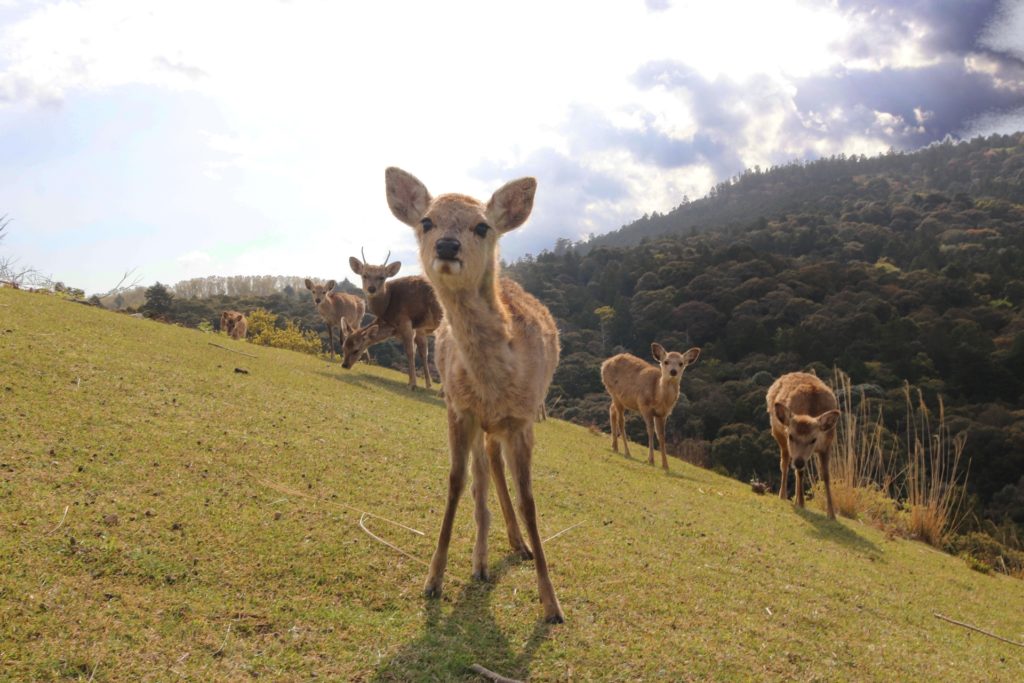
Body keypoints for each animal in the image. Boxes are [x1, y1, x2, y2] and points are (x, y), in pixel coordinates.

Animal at [346, 250, 442, 389]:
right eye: (364, 275)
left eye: (356, 350)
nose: (344, 365)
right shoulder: (419, 330)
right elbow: (423, 353)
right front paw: (426, 384)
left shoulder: (406, 322)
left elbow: (410, 352)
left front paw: (413, 384)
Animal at [385, 166, 565, 626]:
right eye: (426, 221)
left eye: (482, 226)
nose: (448, 245)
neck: (493, 384)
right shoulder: (458, 408)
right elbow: (456, 483)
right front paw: (433, 579)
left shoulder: (523, 419)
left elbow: (529, 499)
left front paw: (552, 604)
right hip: (483, 425)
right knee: (484, 476)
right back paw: (483, 561)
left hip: (501, 425)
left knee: (495, 470)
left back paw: (516, 546)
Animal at [598, 342, 696, 471]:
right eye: (666, 361)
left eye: (681, 363)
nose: (673, 371)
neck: (658, 396)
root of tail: (604, 364)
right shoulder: (644, 407)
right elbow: (650, 431)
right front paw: (651, 460)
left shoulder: (663, 414)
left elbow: (661, 435)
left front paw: (665, 465)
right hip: (613, 392)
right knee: (621, 421)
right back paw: (627, 452)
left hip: (621, 399)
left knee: (612, 410)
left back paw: (614, 446)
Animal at [770, 370, 839, 520]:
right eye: (791, 435)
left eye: (813, 439)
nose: (799, 461)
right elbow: (800, 472)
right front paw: (801, 503)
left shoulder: (827, 445)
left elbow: (826, 476)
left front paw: (831, 514)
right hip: (777, 433)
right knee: (784, 463)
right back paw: (783, 495)